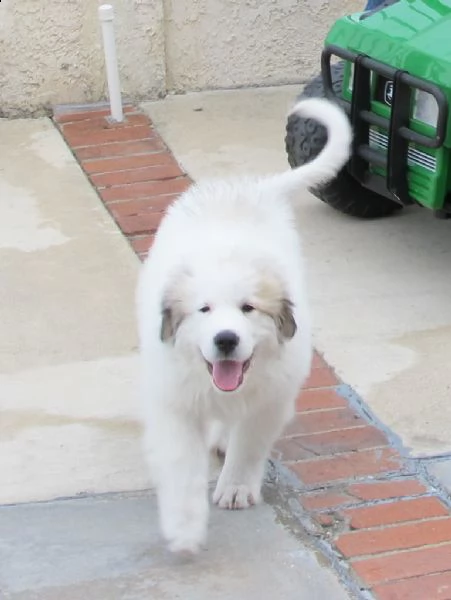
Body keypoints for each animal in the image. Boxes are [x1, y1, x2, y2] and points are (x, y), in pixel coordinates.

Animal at [138, 98, 354, 552]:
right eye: (203, 310)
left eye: (248, 309)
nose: (225, 340)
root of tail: (251, 187)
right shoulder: (174, 399)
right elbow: (181, 464)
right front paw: (184, 527)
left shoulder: (271, 398)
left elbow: (250, 443)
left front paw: (235, 488)